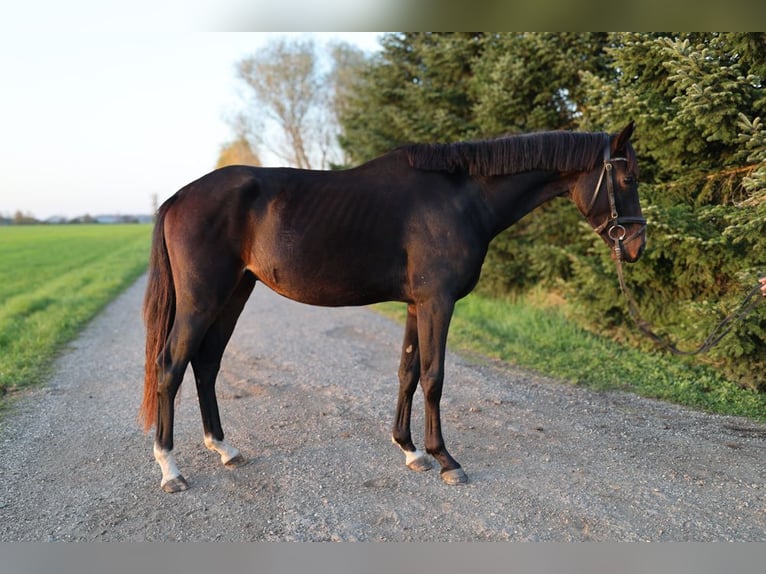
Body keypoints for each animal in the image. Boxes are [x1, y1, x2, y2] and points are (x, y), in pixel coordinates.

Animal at [140, 122, 648, 496]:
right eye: (628, 179)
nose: (637, 246)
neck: (461, 197)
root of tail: (178, 198)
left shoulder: (415, 306)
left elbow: (407, 372)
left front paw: (410, 451)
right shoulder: (438, 302)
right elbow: (434, 377)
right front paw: (446, 459)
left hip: (235, 294)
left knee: (206, 364)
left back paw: (224, 449)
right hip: (202, 300)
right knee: (170, 367)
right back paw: (170, 469)